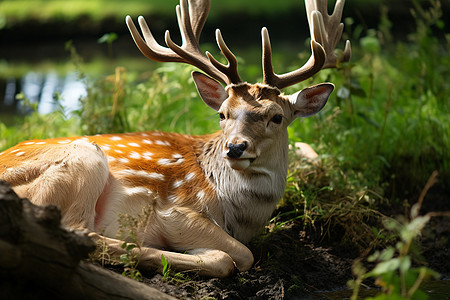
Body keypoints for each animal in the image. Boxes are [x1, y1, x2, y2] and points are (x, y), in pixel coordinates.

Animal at [0, 0, 350, 276]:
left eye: (276, 117)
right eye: (222, 114)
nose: (236, 147)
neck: (240, 215)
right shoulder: (176, 210)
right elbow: (243, 255)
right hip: (84, 158)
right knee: (80, 231)